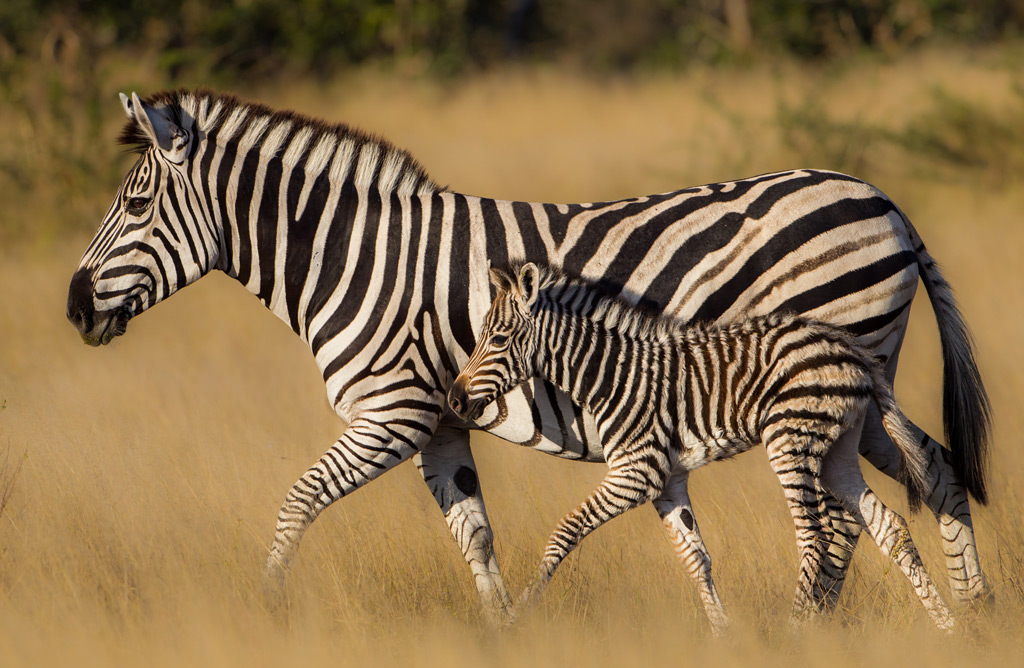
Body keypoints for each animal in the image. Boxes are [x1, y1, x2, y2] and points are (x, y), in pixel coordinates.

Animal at [452, 261, 954, 631]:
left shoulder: (637, 472)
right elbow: (696, 558)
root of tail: (852, 350)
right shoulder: (668, 479)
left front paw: (518, 615)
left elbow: (564, 532)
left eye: (498, 339)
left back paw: (794, 632)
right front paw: (722, 635)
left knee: (815, 536)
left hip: (790, 440)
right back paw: (947, 626)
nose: (455, 399)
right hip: (837, 452)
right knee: (890, 526)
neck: (610, 374)